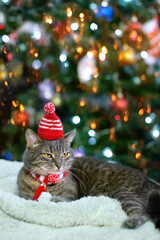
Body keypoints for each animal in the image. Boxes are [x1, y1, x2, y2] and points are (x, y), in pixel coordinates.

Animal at [17, 129, 160, 229]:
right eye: (48, 155)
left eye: (64, 154)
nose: (60, 165)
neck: (46, 181)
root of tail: (150, 180)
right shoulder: (24, 196)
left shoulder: (71, 194)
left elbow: (63, 199)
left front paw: (55, 199)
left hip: (124, 192)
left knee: (144, 214)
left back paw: (132, 222)